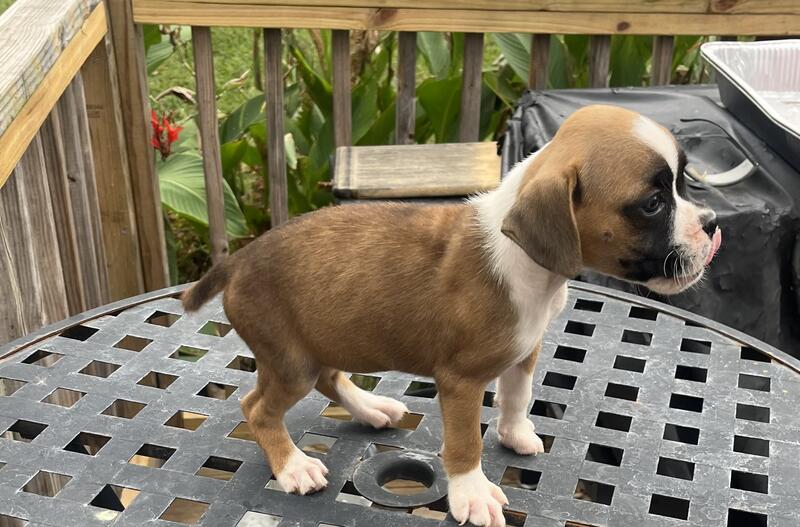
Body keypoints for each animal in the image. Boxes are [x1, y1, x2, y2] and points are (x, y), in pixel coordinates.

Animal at [182, 105, 721, 527]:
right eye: (652, 204)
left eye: (681, 184)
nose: (713, 224)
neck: (527, 262)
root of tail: (240, 258)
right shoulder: (460, 381)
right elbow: (465, 444)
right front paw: (472, 493)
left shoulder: (524, 351)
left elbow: (516, 397)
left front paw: (514, 433)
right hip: (290, 360)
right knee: (258, 409)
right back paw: (293, 466)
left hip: (325, 339)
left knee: (329, 377)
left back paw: (370, 409)